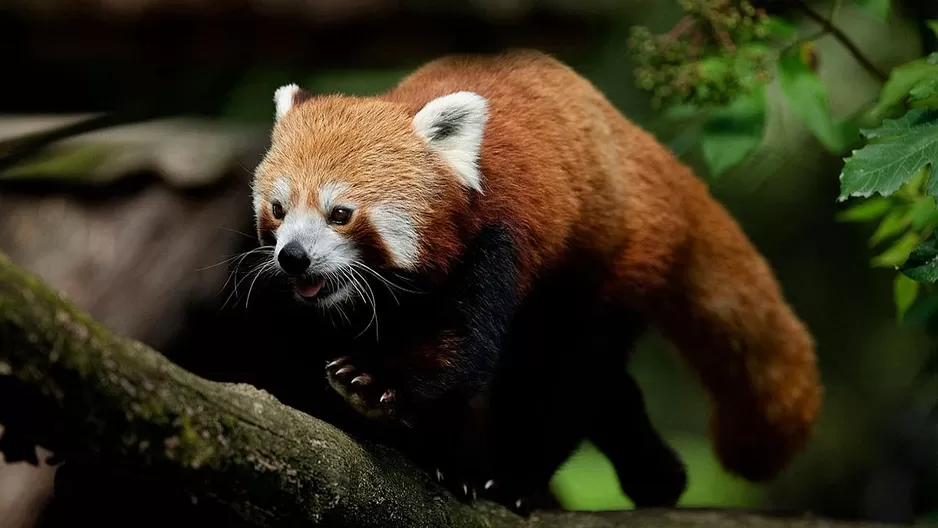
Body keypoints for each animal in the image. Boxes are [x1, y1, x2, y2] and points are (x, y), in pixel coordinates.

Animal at [249, 49, 820, 512]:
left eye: (340, 214)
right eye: (278, 209)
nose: (293, 258)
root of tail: (645, 151)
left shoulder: (498, 239)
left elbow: (460, 349)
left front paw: (373, 383)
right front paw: (434, 453)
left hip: (609, 264)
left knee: (566, 373)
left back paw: (520, 479)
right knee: (605, 386)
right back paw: (658, 477)